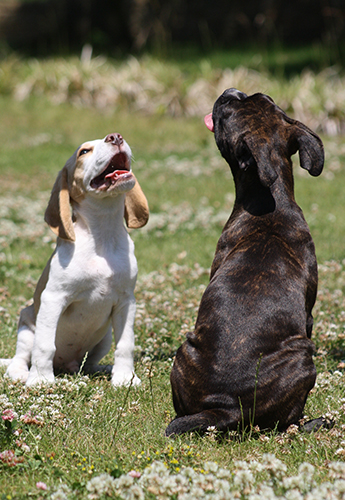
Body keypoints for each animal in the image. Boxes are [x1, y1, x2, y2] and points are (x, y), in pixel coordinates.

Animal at [0, 132, 148, 386]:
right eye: (84, 152)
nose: (115, 137)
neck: (102, 235)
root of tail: (65, 365)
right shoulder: (53, 298)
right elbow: (44, 346)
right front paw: (40, 380)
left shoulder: (126, 302)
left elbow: (126, 345)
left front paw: (125, 379)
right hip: (27, 322)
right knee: (21, 357)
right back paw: (21, 373)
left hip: (104, 338)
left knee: (88, 363)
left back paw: (104, 369)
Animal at [165, 90, 324, 438]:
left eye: (229, 111)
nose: (229, 93)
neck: (270, 203)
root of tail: (225, 407)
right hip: (304, 355)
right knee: (289, 423)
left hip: (185, 349)